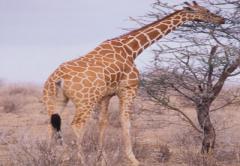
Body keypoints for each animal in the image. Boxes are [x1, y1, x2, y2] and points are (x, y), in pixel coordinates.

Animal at [42, 1, 224, 166]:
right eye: (206, 11)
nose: (221, 19)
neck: (132, 49)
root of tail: (57, 78)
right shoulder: (129, 89)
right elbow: (126, 121)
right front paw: (133, 159)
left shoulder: (106, 95)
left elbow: (103, 122)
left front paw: (102, 159)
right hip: (85, 101)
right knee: (77, 124)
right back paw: (80, 160)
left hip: (56, 99)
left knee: (53, 124)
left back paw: (51, 158)